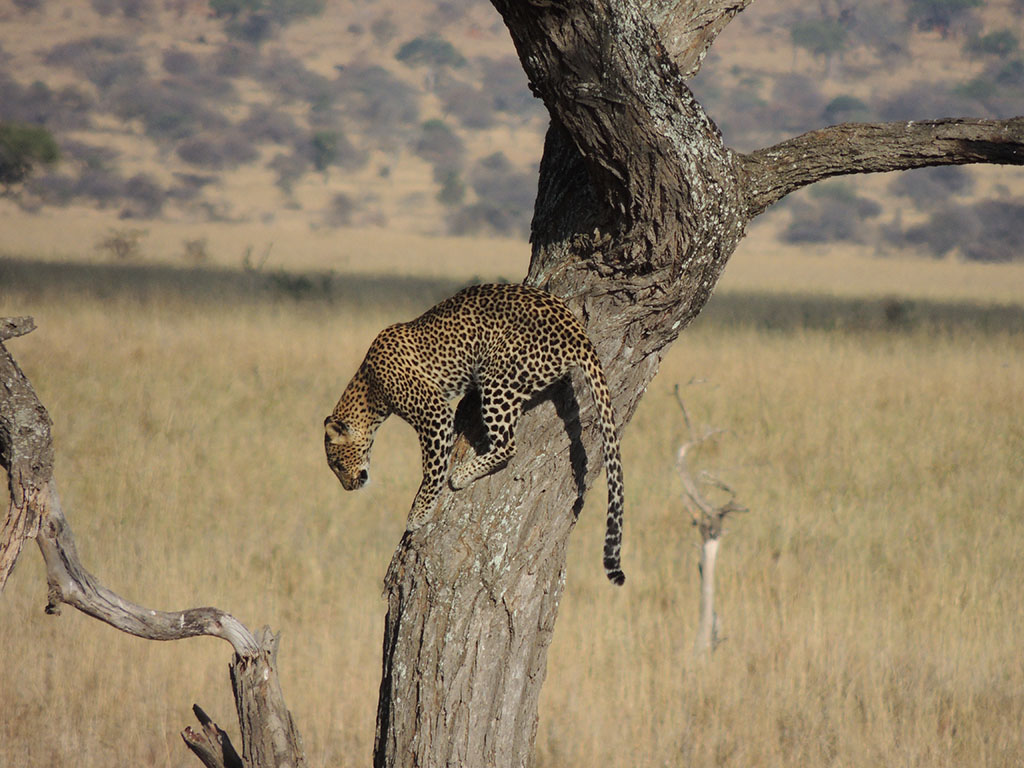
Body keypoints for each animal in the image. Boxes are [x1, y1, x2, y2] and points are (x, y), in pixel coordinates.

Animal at [323, 284, 626, 589]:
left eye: (336, 464)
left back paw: (462, 474)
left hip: (497, 377)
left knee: (507, 446)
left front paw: (418, 514)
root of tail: (577, 331)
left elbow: (432, 469)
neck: (368, 390)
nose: (348, 487)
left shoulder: (434, 414)